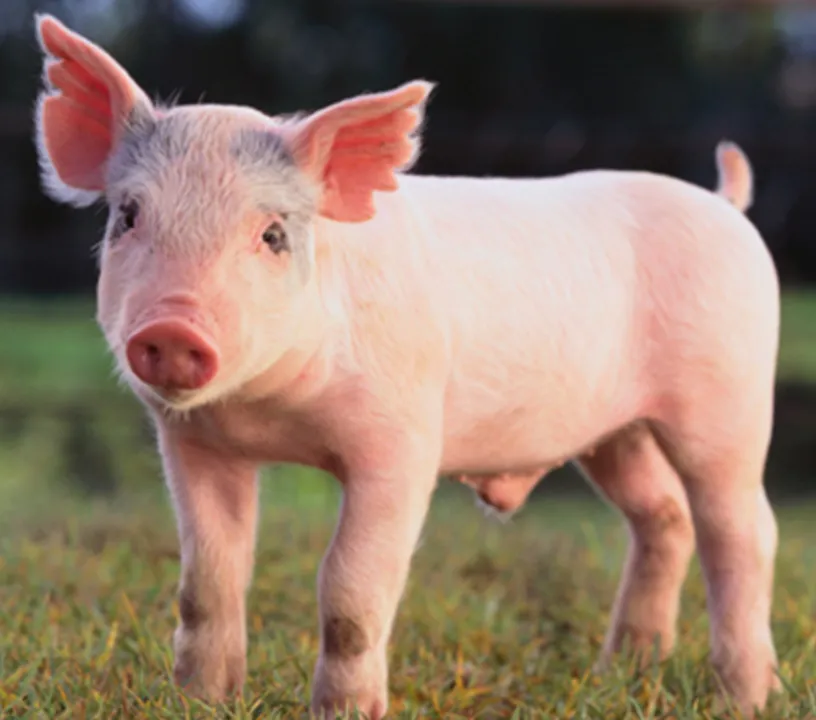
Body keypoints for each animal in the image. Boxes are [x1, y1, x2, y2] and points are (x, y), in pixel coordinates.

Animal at [32, 14, 781, 719]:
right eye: (128, 217)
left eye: (273, 234)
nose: (172, 328)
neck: (272, 412)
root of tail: (725, 205)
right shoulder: (194, 443)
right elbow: (207, 580)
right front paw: (199, 702)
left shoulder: (402, 441)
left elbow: (349, 587)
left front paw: (345, 712)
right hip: (614, 432)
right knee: (663, 516)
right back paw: (624, 670)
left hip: (730, 397)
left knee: (741, 530)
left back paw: (744, 698)